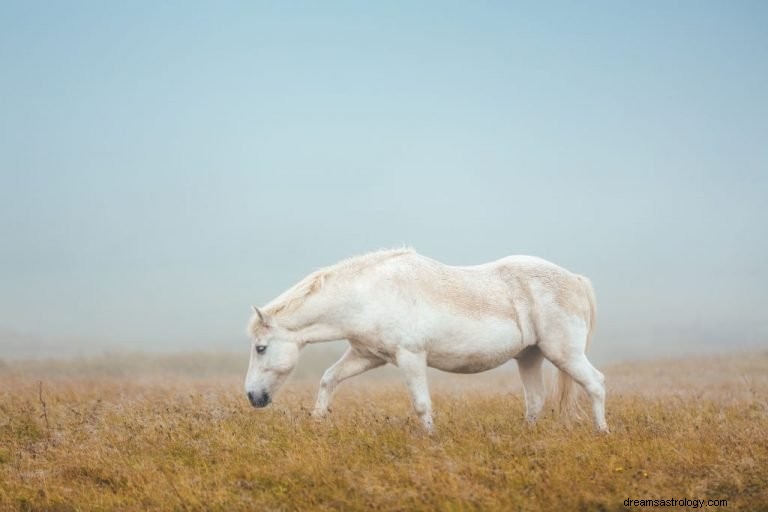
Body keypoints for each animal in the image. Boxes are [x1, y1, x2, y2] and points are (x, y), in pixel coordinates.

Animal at [243, 248, 608, 432]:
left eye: (261, 348)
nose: (252, 397)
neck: (371, 294)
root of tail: (575, 279)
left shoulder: (410, 357)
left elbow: (421, 404)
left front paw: (430, 439)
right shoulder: (367, 356)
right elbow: (329, 379)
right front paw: (317, 421)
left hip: (564, 353)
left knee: (596, 384)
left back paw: (601, 432)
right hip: (530, 356)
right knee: (535, 399)